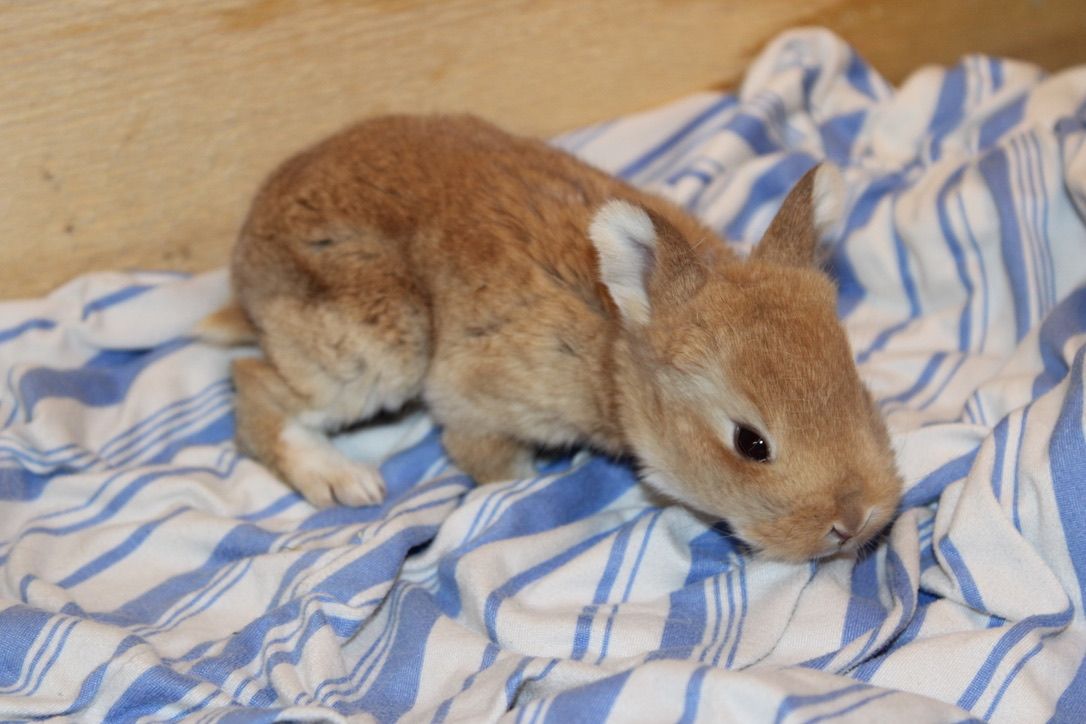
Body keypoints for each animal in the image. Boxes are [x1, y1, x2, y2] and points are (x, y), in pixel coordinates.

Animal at [200, 114, 902, 562]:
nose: (855, 520)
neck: (613, 351)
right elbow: (482, 452)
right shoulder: (472, 400)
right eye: (750, 443)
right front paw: (516, 483)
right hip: (375, 345)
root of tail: (246, 248)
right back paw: (344, 480)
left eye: (856, 388)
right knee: (256, 387)